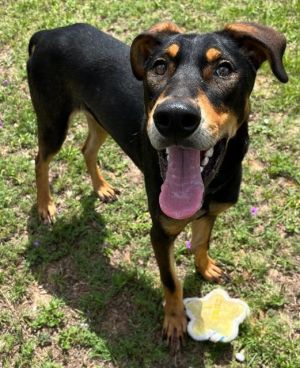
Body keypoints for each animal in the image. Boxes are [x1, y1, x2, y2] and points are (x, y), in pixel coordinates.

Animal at [27, 20, 288, 350]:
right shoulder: (160, 233)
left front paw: (205, 268)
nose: (174, 117)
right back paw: (45, 206)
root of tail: (47, 34)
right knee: (41, 159)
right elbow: (171, 280)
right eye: (160, 66)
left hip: (99, 117)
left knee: (87, 149)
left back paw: (101, 188)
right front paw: (174, 323)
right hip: (53, 120)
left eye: (224, 69)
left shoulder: (210, 213)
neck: (211, 182)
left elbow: (201, 242)